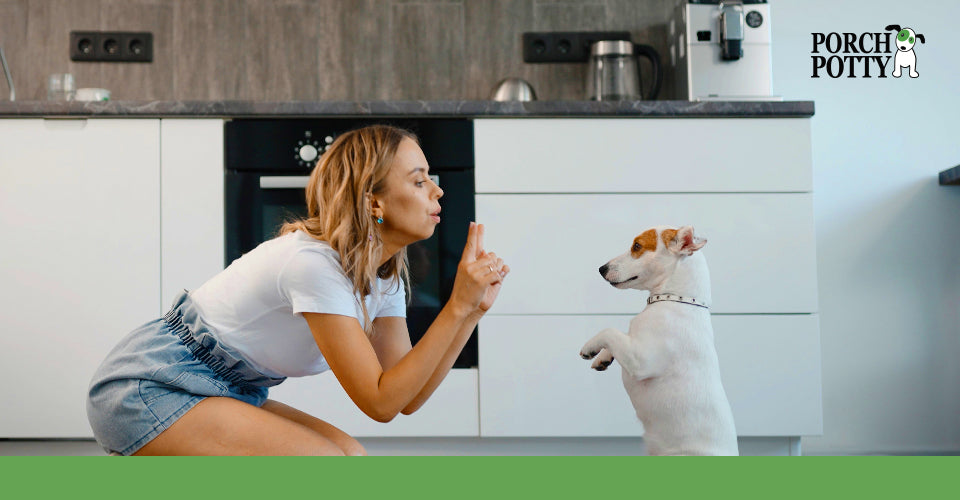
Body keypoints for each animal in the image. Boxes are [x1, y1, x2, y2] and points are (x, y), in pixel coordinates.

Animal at [576, 227, 744, 458]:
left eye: (637, 246)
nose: (602, 269)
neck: (674, 299)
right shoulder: (632, 345)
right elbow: (622, 335)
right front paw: (602, 358)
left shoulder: (641, 362)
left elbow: (610, 331)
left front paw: (589, 347)